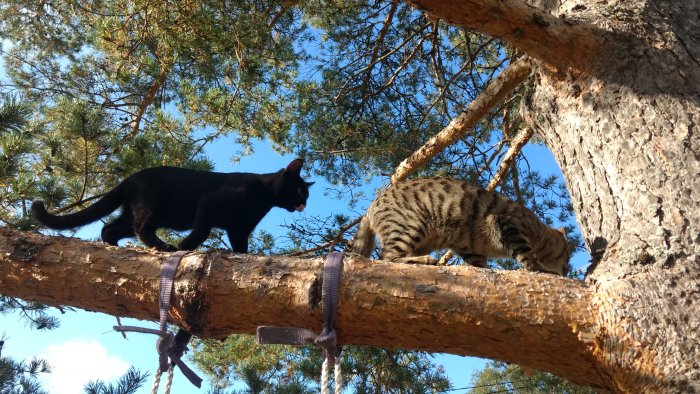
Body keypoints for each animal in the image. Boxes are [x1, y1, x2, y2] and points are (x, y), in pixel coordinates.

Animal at [32, 159, 312, 251]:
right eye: (299, 190)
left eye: (307, 196)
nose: (303, 204)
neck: (263, 198)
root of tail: (130, 178)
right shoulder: (208, 205)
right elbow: (202, 232)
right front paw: (184, 247)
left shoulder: (239, 229)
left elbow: (241, 248)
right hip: (152, 207)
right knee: (141, 228)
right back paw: (164, 247)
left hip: (135, 213)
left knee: (110, 228)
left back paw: (114, 247)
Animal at [352, 177, 572, 276]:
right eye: (568, 255)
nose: (567, 269)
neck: (537, 231)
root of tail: (371, 206)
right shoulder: (507, 224)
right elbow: (527, 256)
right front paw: (541, 269)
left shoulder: (470, 247)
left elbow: (479, 264)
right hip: (410, 226)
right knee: (387, 258)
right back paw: (424, 260)